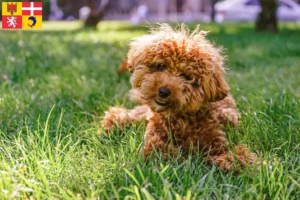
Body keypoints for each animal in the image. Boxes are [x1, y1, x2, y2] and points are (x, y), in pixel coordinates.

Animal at [101, 24, 258, 171]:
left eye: (186, 77)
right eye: (160, 66)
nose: (163, 91)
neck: (181, 119)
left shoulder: (216, 142)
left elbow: (232, 155)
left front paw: (249, 165)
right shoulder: (153, 138)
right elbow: (157, 150)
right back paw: (113, 123)